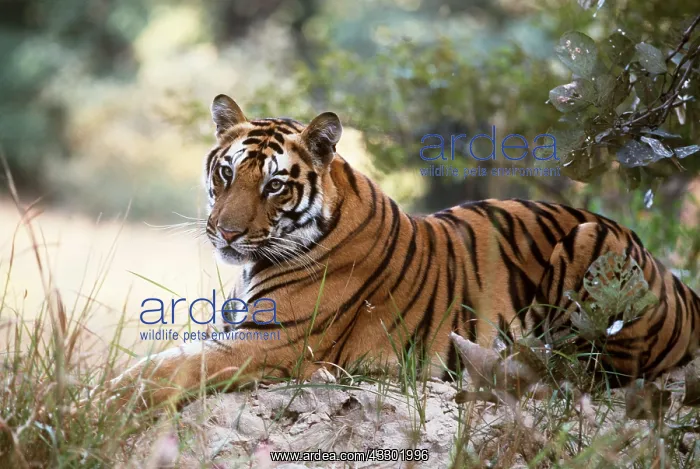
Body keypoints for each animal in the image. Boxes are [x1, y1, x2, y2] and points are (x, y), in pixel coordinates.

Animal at [112, 94, 700, 407]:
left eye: (275, 185)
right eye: (226, 173)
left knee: (589, 372)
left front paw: (104, 399)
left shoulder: (270, 343)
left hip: (591, 243)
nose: (226, 233)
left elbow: (168, 368)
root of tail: (678, 283)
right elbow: (166, 358)